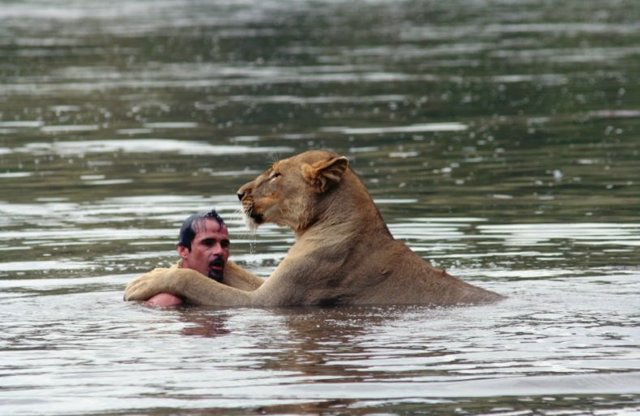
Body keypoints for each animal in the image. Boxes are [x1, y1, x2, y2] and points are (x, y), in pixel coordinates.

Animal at [125, 150, 502, 306]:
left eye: (276, 174)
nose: (239, 193)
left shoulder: (271, 301)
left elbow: (194, 280)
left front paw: (143, 281)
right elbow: (230, 270)